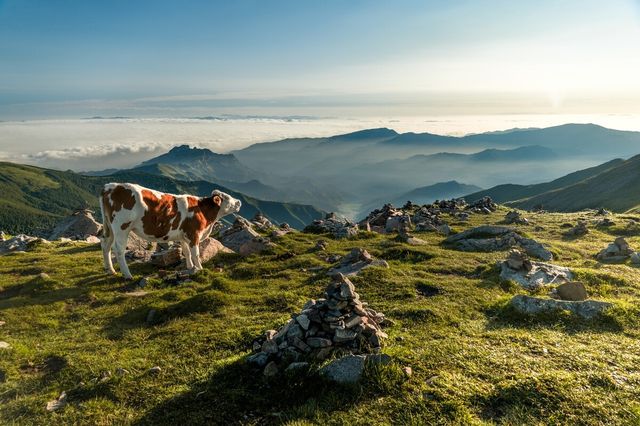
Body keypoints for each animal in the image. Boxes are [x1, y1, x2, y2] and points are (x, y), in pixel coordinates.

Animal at [99, 182, 241, 280]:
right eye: (227, 197)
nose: (239, 201)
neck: (203, 211)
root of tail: (109, 186)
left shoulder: (183, 236)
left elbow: (186, 252)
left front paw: (190, 267)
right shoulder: (194, 234)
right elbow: (195, 253)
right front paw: (200, 268)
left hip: (110, 227)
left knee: (105, 244)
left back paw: (110, 270)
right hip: (121, 227)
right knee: (119, 250)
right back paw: (127, 275)